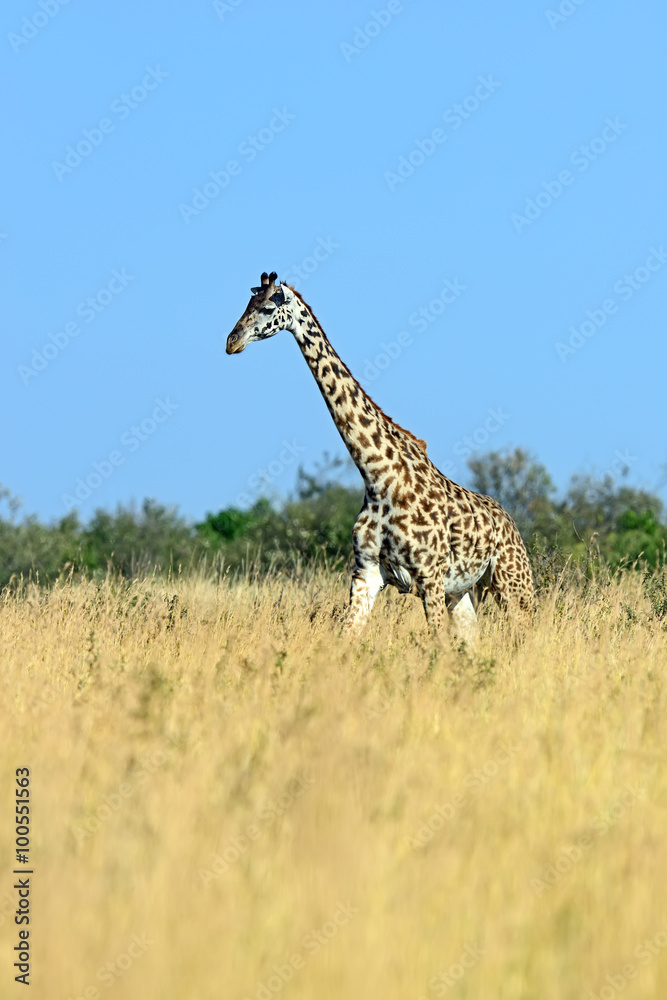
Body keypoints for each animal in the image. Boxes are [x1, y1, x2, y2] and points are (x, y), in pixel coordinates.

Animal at [226, 272, 535, 633]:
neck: (377, 476)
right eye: (248, 303)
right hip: (461, 591)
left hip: (512, 582)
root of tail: (511, 521)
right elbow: (345, 636)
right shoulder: (367, 574)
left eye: (267, 307)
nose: (231, 341)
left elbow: (437, 643)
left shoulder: (429, 575)